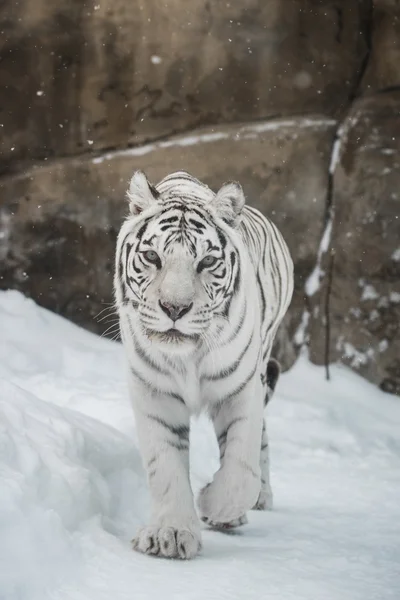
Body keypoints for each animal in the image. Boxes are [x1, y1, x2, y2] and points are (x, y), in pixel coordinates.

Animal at [114, 169, 292, 556]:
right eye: (152, 256)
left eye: (207, 262)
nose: (174, 308)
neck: (188, 358)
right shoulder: (153, 391)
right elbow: (165, 466)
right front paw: (169, 533)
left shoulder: (242, 388)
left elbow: (241, 471)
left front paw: (214, 505)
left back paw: (259, 499)